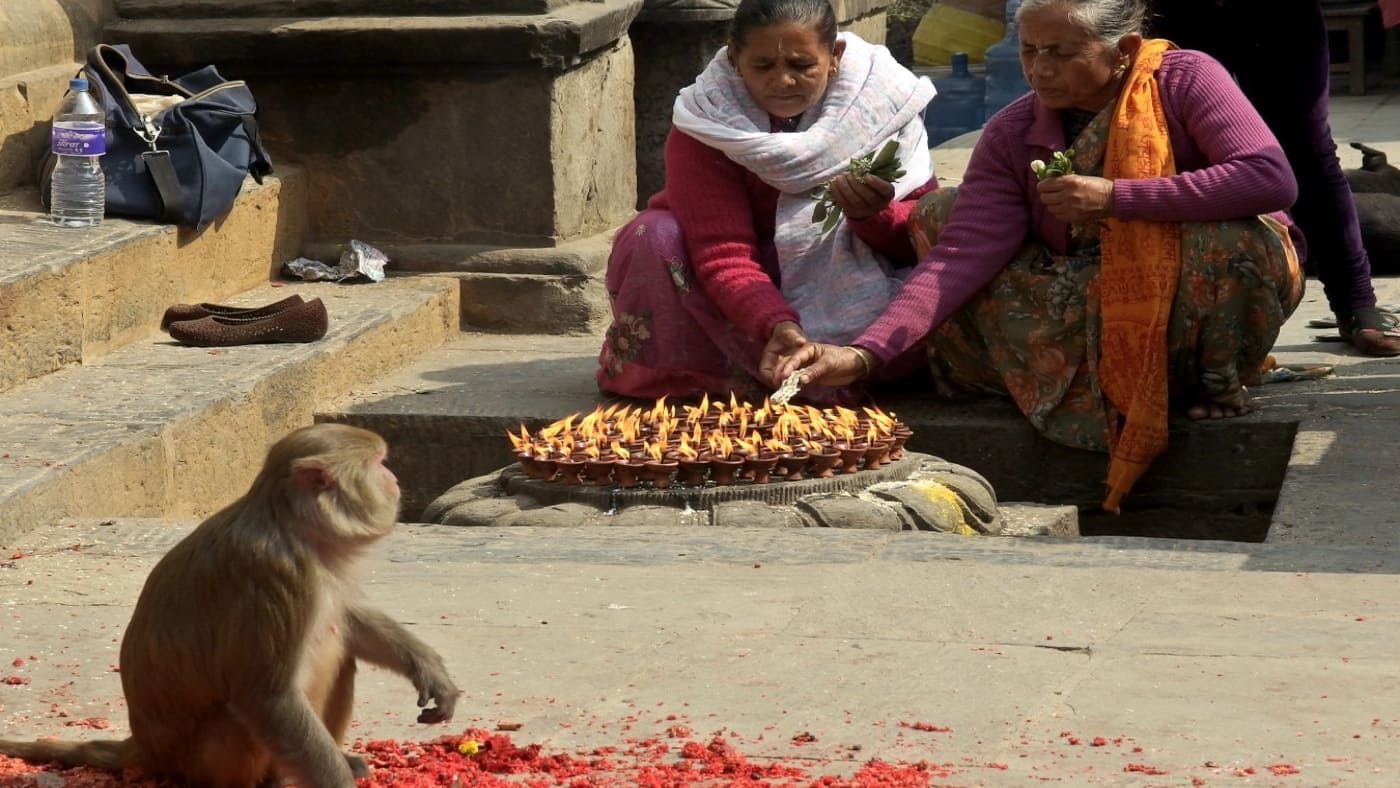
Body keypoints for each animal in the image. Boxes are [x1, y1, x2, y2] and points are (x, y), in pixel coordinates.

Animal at [0, 425, 462, 788]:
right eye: (379, 463)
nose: (395, 479)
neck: (292, 525)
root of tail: (145, 748)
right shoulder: (277, 575)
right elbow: (267, 697)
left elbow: (348, 620)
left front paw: (429, 670)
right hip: (210, 757)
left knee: (338, 650)